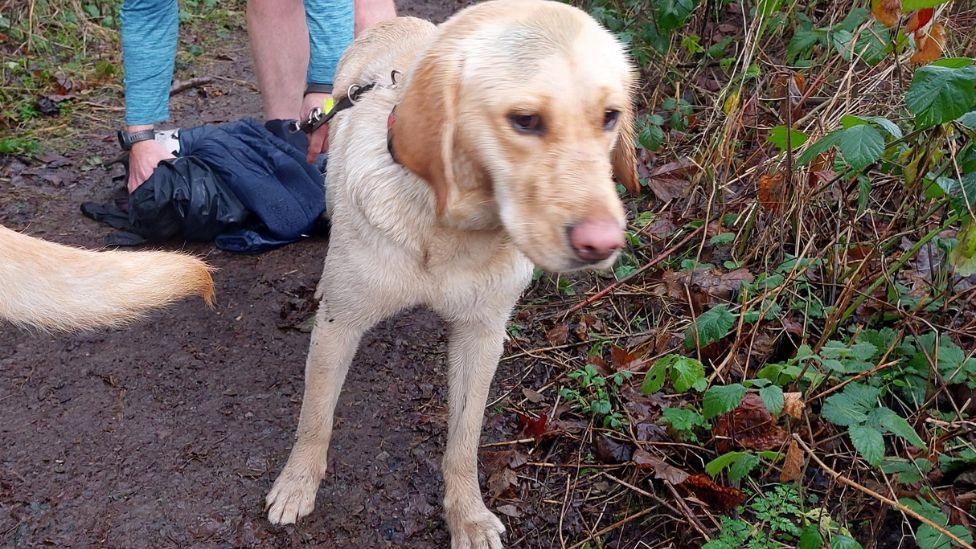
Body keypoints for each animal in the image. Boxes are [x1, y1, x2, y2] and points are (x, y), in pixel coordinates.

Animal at [266, 2, 636, 544]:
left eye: (610, 117)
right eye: (525, 120)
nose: (604, 244)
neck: (447, 228)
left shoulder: (481, 336)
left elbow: (465, 436)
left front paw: (468, 514)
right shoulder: (339, 326)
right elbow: (314, 418)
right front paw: (297, 484)